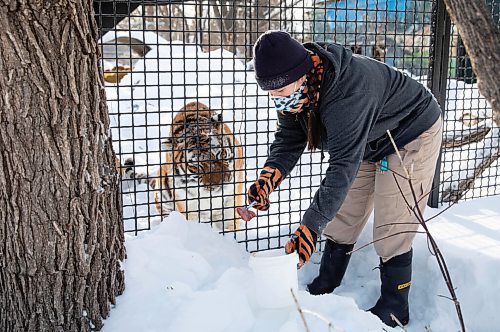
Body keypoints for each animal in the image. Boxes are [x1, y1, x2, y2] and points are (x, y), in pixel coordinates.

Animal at [133, 102, 244, 231]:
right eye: (197, 165)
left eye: (220, 155)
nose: (221, 182)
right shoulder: (186, 204)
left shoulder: (233, 194)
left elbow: (230, 222)